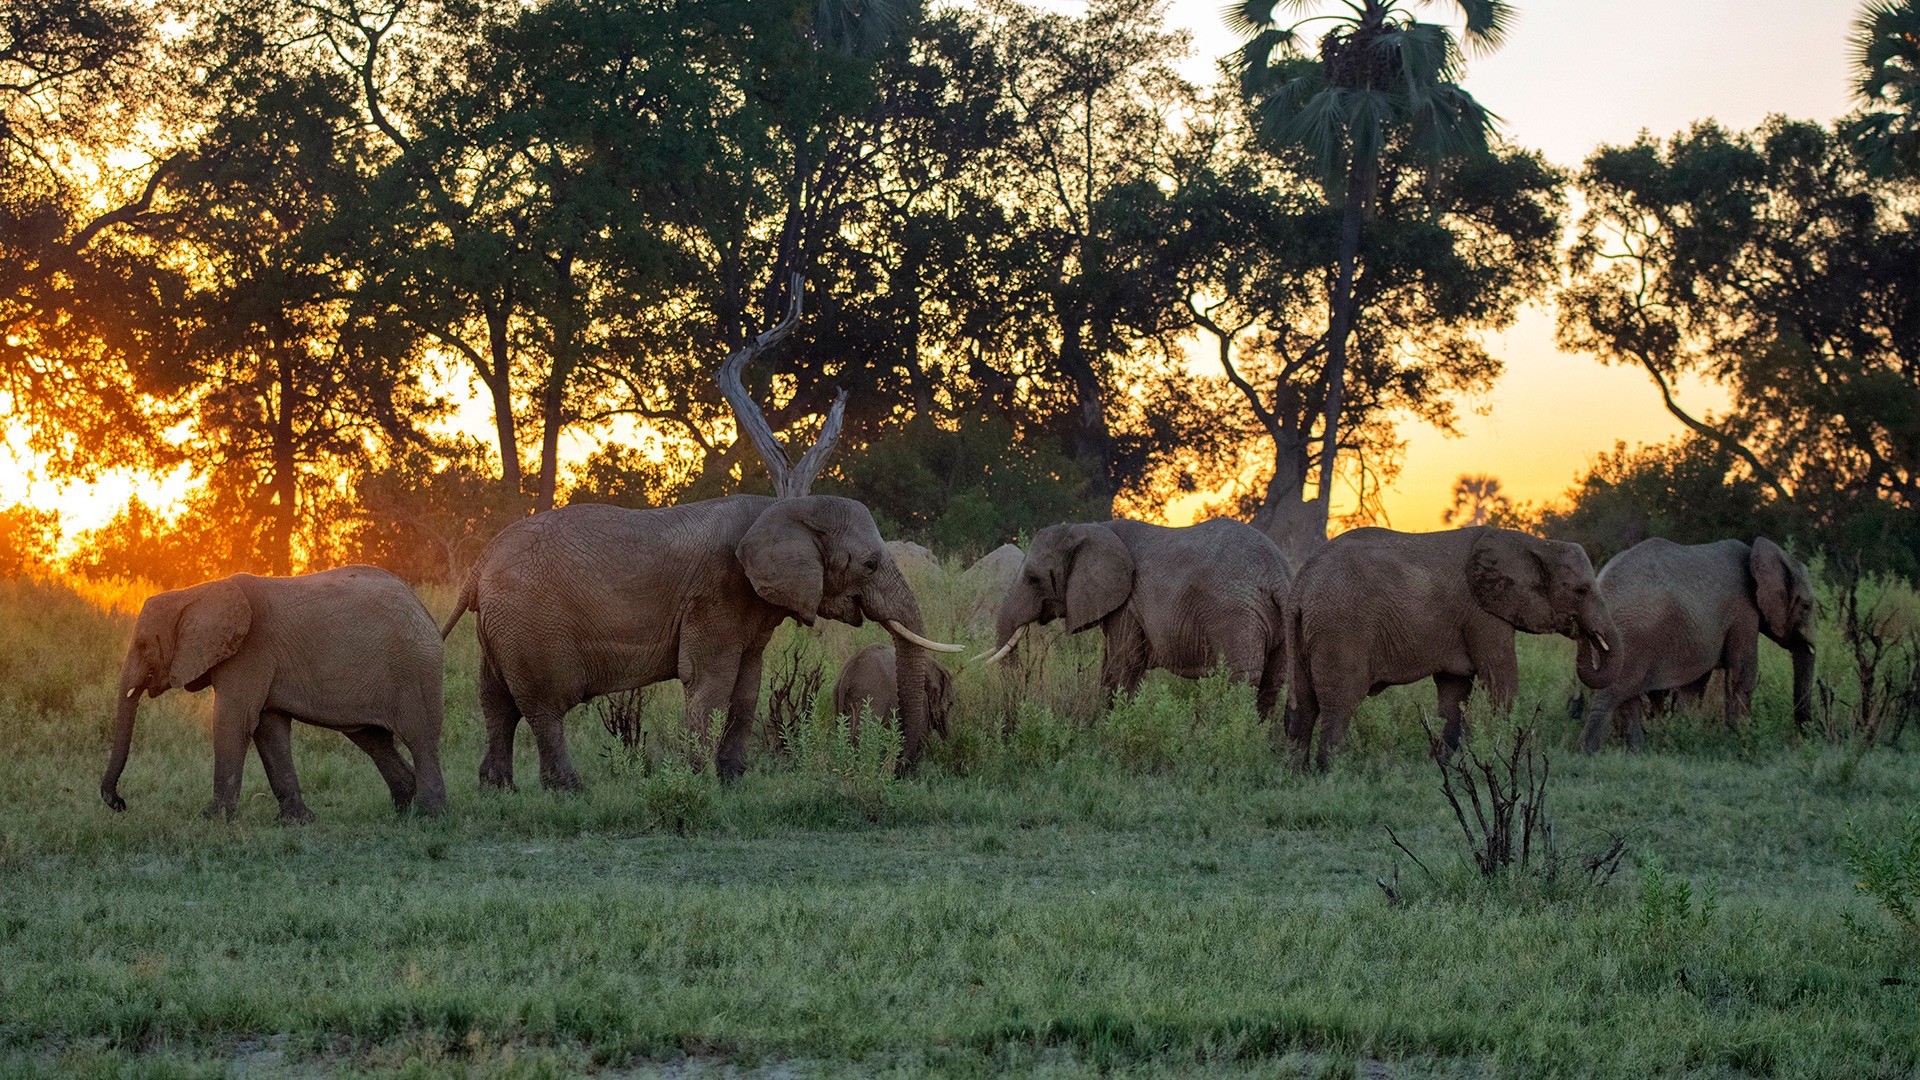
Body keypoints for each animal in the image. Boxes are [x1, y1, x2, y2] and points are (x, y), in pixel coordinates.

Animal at [102, 564, 445, 814]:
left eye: (143, 645)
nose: (121, 803)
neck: (194, 594)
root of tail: (422, 607)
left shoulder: (250, 651)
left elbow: (233, 721)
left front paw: (212, 819)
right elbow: (269, 729)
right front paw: (296, 821)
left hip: (414, 669)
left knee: (420, 738)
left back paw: (429, 817)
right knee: (373, 740)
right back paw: (403, 811)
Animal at [443, 491, 967, 787]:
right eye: (871, 564)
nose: (900, 772)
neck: (782, 509)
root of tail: (478, 565)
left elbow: (747, 686)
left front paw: (733, 781)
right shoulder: (718, 592)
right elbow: (710, 680)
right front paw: (698, 779)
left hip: (502, 627)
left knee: (498, 703)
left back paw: (497, 787)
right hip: (531, 624)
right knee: (544, 705)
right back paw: (569, 789)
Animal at [975, 518, 1290, 714]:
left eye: (1032, 578)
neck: (1091, 529)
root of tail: (1277, 574)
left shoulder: (1127, 604)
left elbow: (1124, 663)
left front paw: (1111, 727)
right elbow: (1110, 664)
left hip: (1234, 616)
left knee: (1240, 679)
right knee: (1271, 683)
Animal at [1290, 522, 1620, 764]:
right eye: (1580, 590)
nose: (1581, 631)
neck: (1535, 543)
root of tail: (1303, 583)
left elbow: (1454, 691)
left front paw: (1441, 764)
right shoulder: (1481, 613)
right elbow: (1500, 678)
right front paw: (1504, 750)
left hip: (1302, 628)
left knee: (1303, 701)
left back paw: (1297, 773)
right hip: (1341, 627)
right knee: (1340, 700)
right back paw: (1332, 771)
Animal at [1574, 530, 1812, 749]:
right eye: (1807, 606)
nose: (1804, 736)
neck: (1758, 554)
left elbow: (1694, 685)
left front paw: (1687, 736)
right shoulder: (1743, 614)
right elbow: (1742, 676)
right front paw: (1740, 738)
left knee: (1626, 696)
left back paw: (1637, 752)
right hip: (1630, 636)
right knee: (1612, 694)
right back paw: (1588, 752)